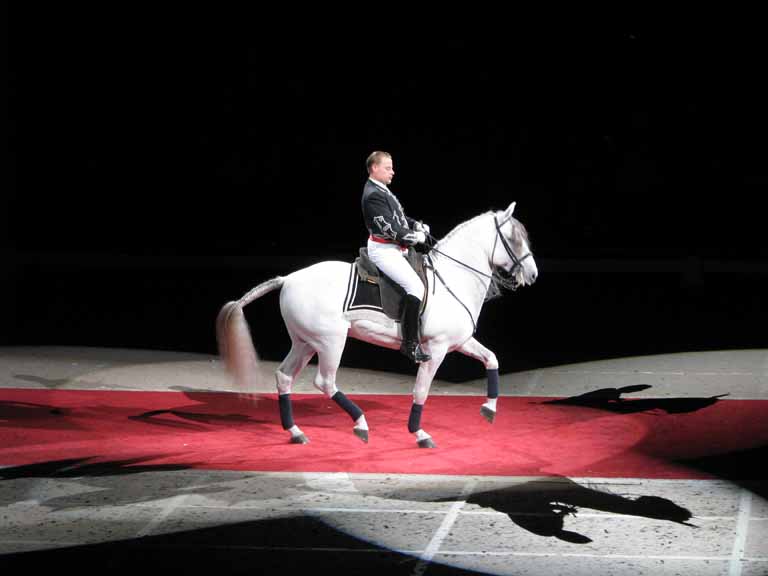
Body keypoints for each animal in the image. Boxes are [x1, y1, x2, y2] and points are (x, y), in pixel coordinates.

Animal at [216, 202, 536, 450]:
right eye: (514, 239)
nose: (533, 275)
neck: (452, 279)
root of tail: (289, 279)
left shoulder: (460, 342)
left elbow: (492, 359)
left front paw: (489, 409)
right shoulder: (437, 349)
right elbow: (421, 391)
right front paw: (419, 434)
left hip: (305, 343)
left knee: (284, 377)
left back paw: (296, 433)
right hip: (331, 341)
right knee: (325, 382)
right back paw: (361, 424)